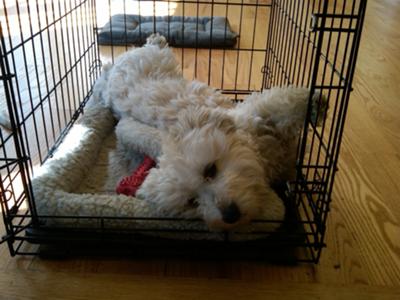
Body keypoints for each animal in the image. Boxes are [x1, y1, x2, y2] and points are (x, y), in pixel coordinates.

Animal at [94, 34, 324, 232]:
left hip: (157, 61)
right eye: (192, 201)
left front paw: (314, 104)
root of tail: (113, 68)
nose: (230, 214)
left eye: (210, 170)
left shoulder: (251, 115)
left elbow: (281, 102)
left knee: (154, 49)